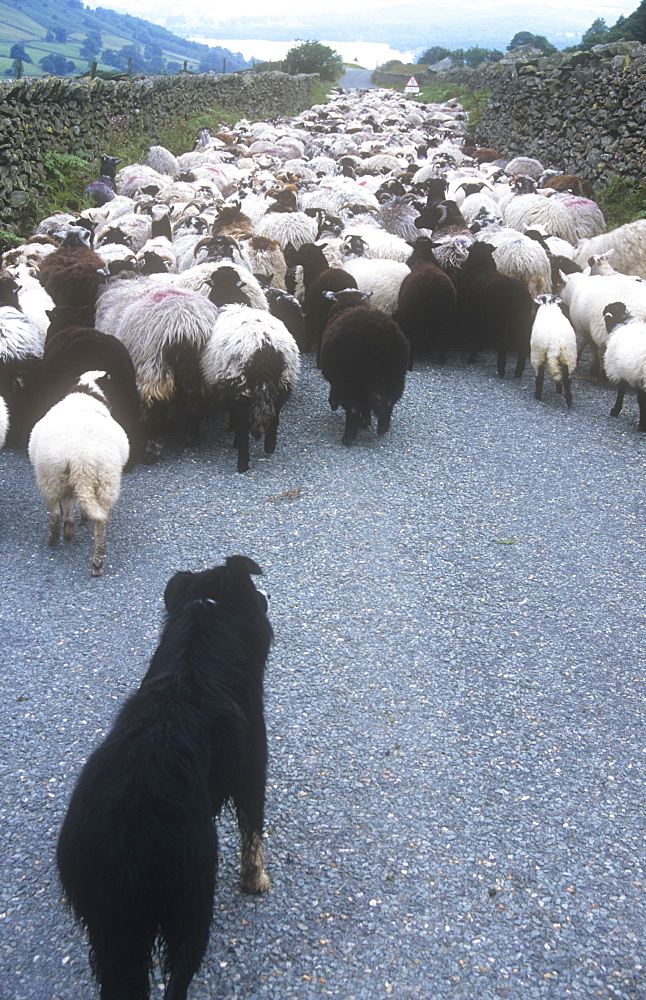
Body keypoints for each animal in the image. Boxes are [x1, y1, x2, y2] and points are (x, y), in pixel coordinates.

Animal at [27, 372, 130, 580]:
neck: (85, 393)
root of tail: (81, 456)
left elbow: (66, 504)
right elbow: (72, 502)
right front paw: (75, 523)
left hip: (50, 477)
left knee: (55, 513)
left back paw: (54, 541)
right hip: (105, 479)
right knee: (100, 520)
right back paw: (97, 562)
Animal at [318, 290, 410, 446]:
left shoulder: (337, 381)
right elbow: (366, 403)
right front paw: (366, 421)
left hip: (350, 378)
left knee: (353, 407)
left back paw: (348, 438)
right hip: (395, 376)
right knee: (389, 401)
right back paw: (383, 428)